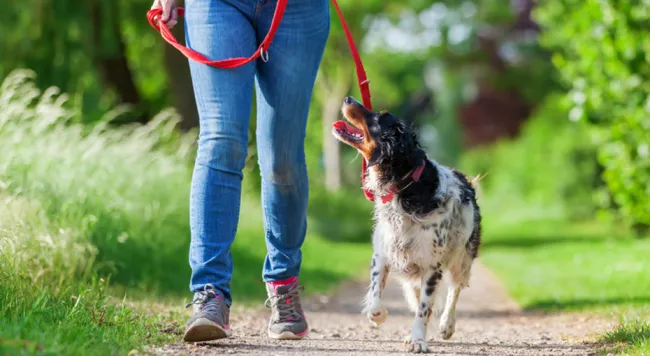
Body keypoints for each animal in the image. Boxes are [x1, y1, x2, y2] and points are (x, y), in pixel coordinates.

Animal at [332, 96, 478, 354]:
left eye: (378, 117)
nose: (348, 98)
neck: (404, 187)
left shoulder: (432, 266)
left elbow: (424, 309)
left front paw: (419, 340)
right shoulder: (383, 254)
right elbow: (376, 296)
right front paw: (378, 317)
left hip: (463, 257)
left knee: (455, 289)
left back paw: (446, 325)